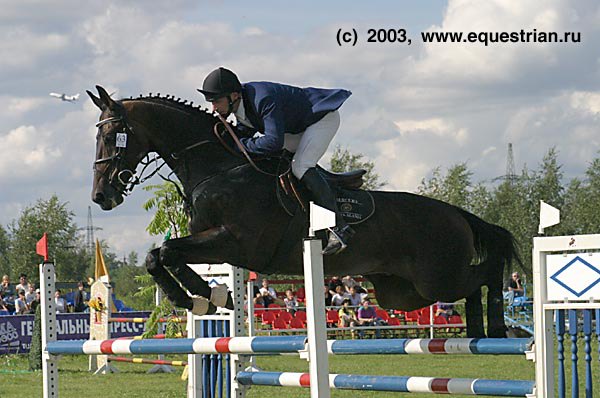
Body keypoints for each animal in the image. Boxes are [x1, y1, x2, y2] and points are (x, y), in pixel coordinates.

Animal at [86, 85, 516, 338]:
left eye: (112, 135)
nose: (101, 197)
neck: (220, 167)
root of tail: (457, 214)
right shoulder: (212, 241)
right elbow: (160, 255)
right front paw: (206, 297)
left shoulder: (238, 244)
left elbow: (167, 251)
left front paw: (206, 294)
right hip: (401, 292)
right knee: (468, 287)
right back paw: (482, 332)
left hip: (436, 277)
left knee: (484, 276)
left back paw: (496, 326)